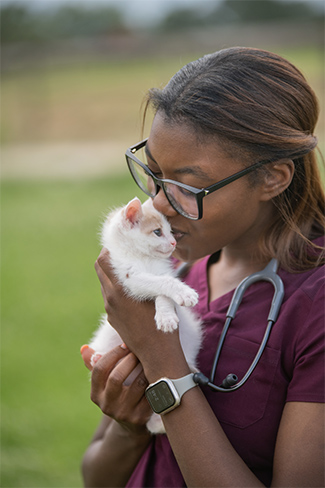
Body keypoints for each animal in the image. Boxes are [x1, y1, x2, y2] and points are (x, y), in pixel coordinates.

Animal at [88, 196, 200, 432]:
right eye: (158, 232)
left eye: (171, 231)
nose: (174, 243)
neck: (143, 257)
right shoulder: (129, 277)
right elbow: (161, 283)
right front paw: (181, 295)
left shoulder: (162, 271)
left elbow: (164, 289)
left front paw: (166, 314)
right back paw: (97, 357)